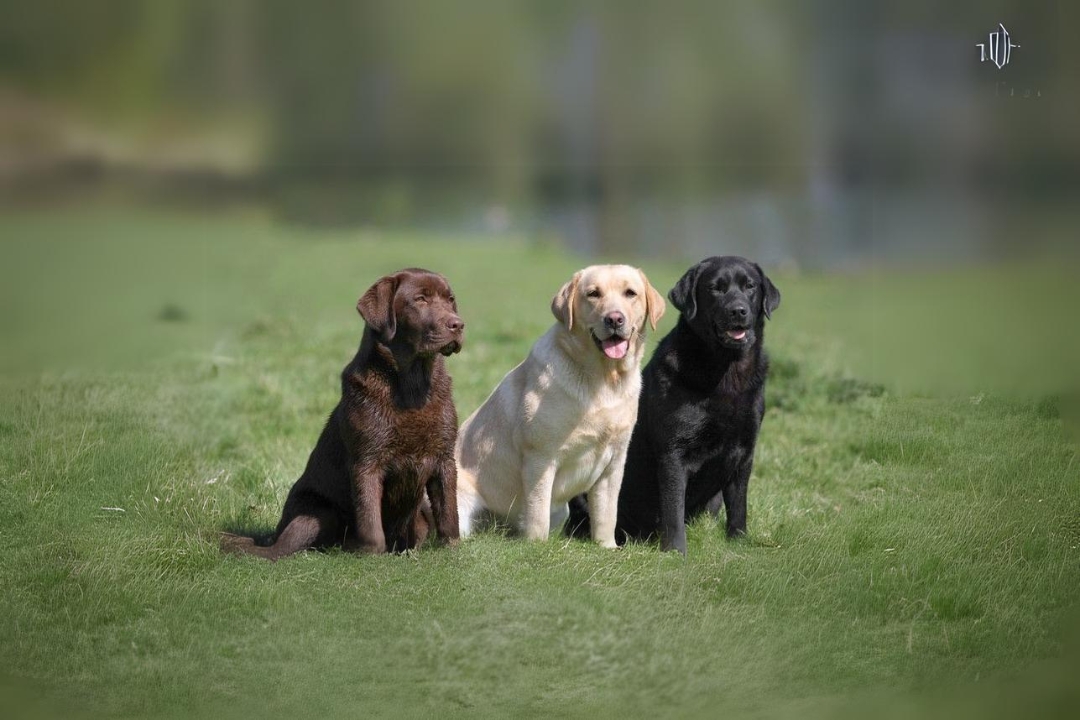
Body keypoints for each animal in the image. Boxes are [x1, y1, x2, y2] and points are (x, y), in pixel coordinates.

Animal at [223, 268, 464, 557]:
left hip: (420, 519)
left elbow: (449, 514)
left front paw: (452, 549)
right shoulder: (367, 462)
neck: (412, 387)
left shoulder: (444, 459)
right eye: (420, 299)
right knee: (275, 551)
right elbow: (370, 521)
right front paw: (371, 555)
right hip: (316, 514)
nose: (458, 325)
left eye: (450, 299)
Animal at [570, 255, 781, 557]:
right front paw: (675, 551)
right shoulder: (673, 453)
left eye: (750, 286)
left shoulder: (744, 452)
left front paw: (739, 543)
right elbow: (673, 508)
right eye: (715, 288)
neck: (725, 372)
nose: (738, 311)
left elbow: (739, 506)